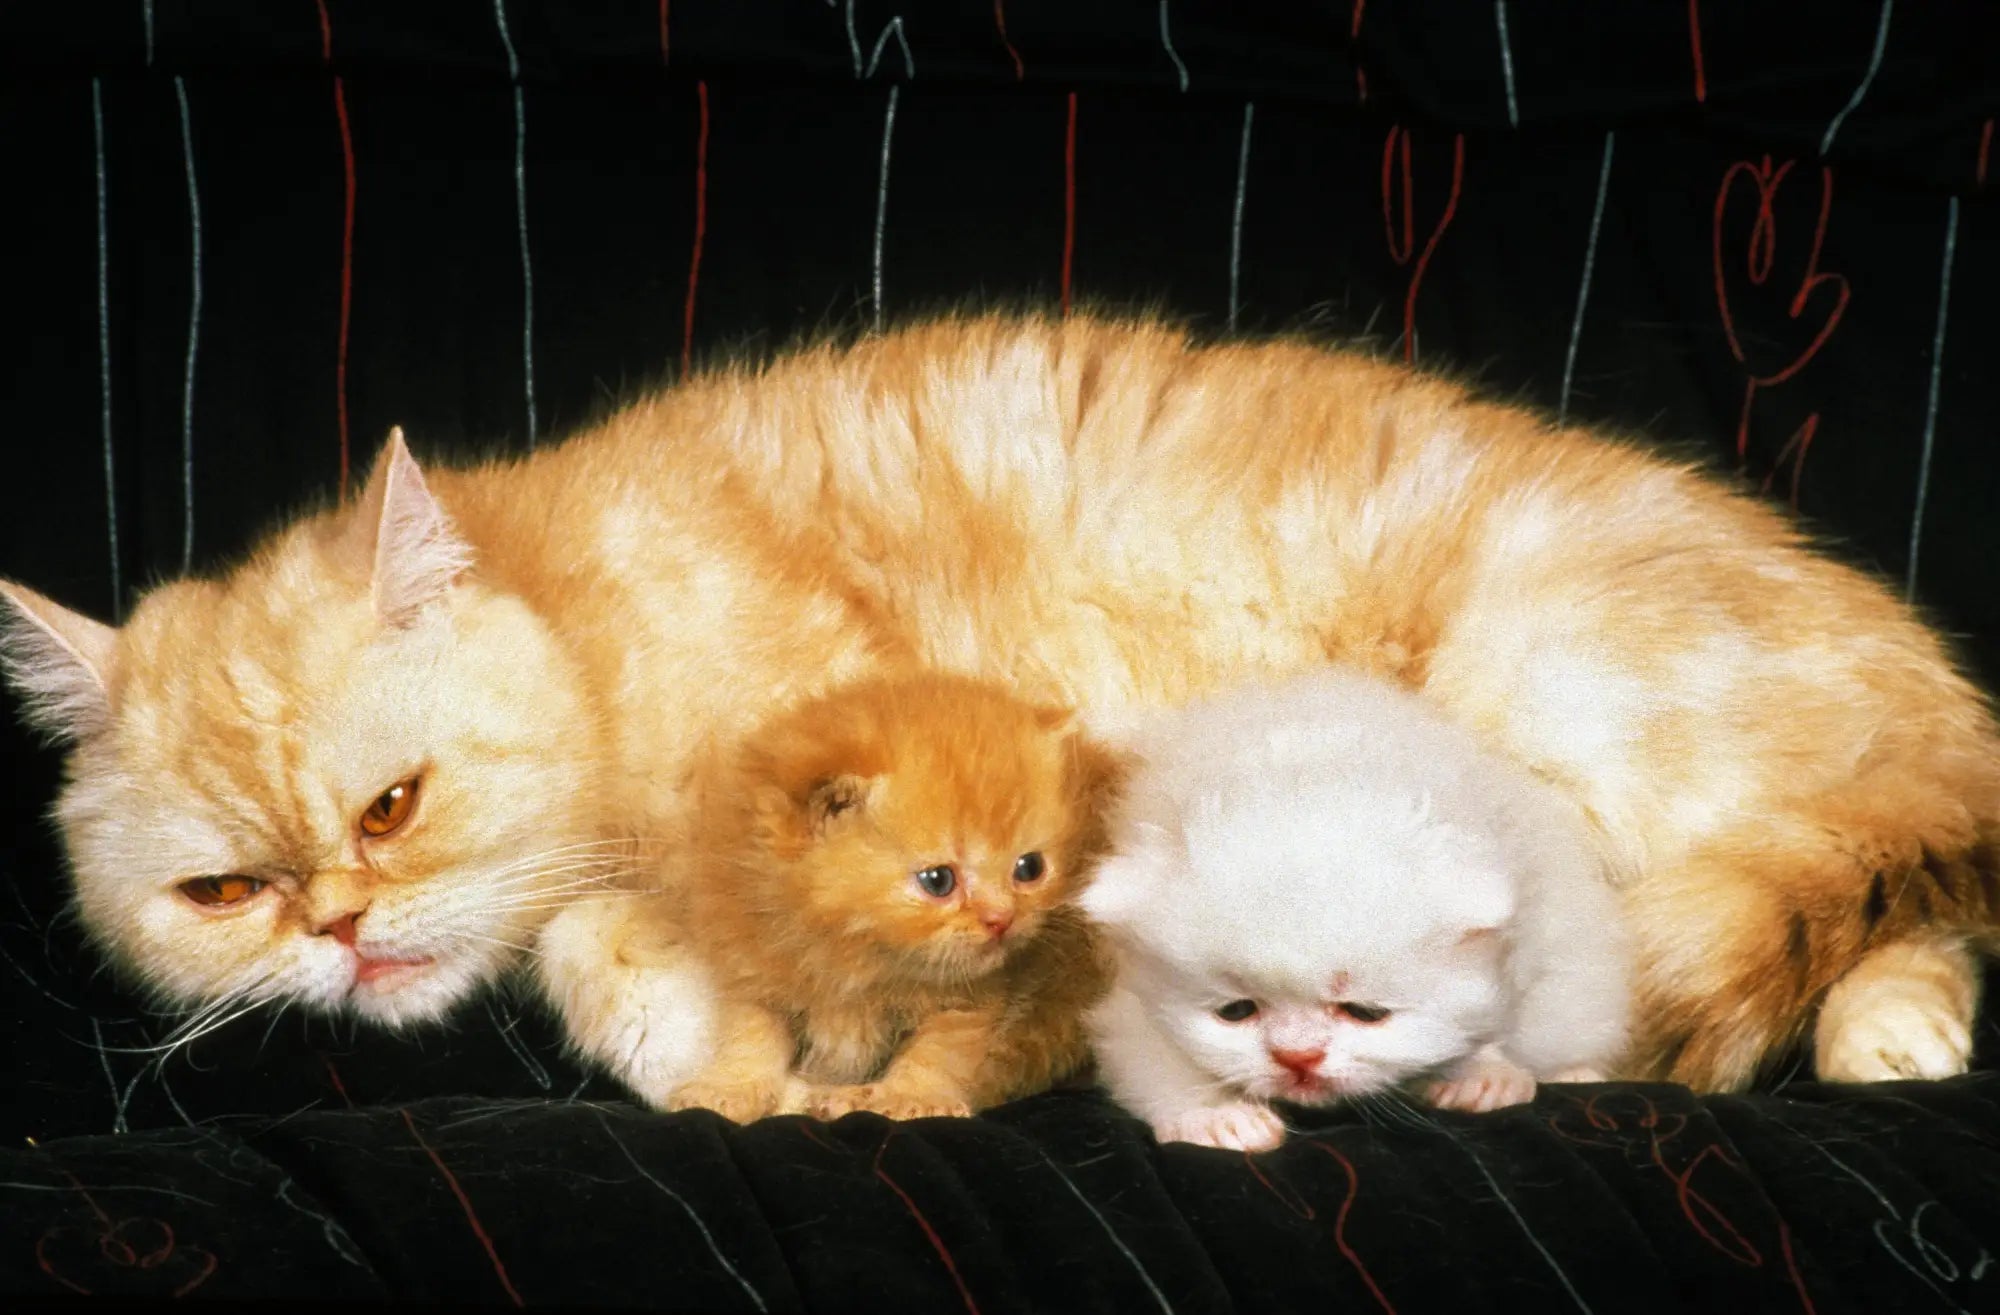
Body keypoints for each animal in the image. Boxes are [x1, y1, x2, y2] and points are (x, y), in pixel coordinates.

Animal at [668, 675, 1112, 1119]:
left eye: (1030, 868)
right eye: (938, 881)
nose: (1002, 919)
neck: (855, 959)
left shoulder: (972, 1001)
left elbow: (940, 1049)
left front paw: (911, 1096)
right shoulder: (752, 960)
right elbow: (751, 1030)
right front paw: (730, 1085)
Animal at [1088, 667, 1632, 1151]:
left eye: (1365, 1012)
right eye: (1236, 1011)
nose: (1298, 1057)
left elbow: (1500, 1020)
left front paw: (1484, 1072)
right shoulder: (1132, 999)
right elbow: (1152, 1056)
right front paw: (1213, 1115)